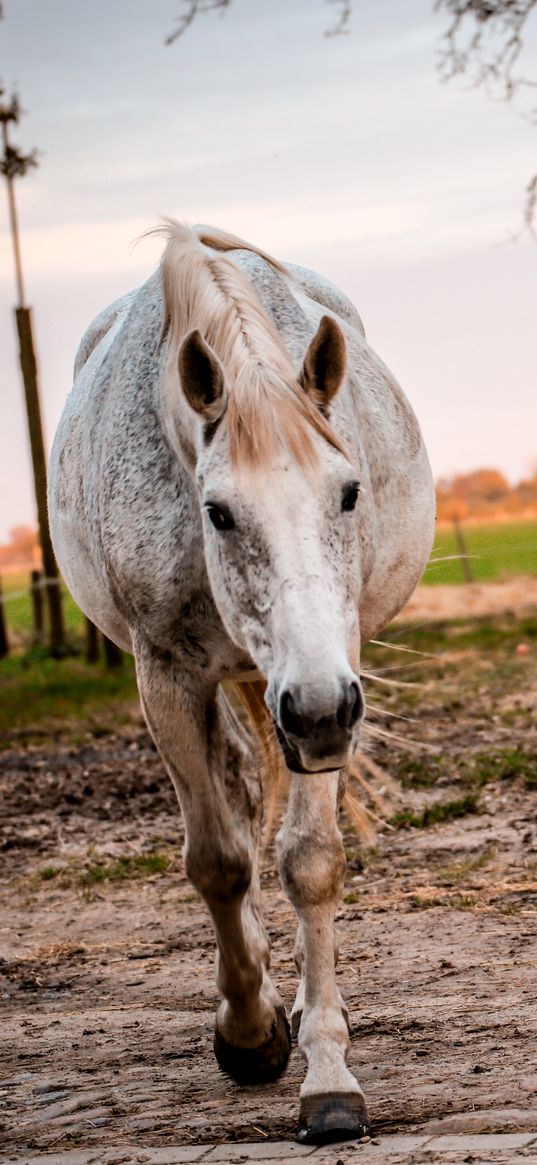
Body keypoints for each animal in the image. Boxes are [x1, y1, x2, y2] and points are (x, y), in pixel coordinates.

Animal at [49, 222, 435, 1141]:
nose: (320, 710)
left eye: (349, 492)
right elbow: (220, 860)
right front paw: (249, 1032)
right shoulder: (167, 675)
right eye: (217, 511)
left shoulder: (328, 678)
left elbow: (310, 861)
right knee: (232, 790)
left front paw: (327, 1073)